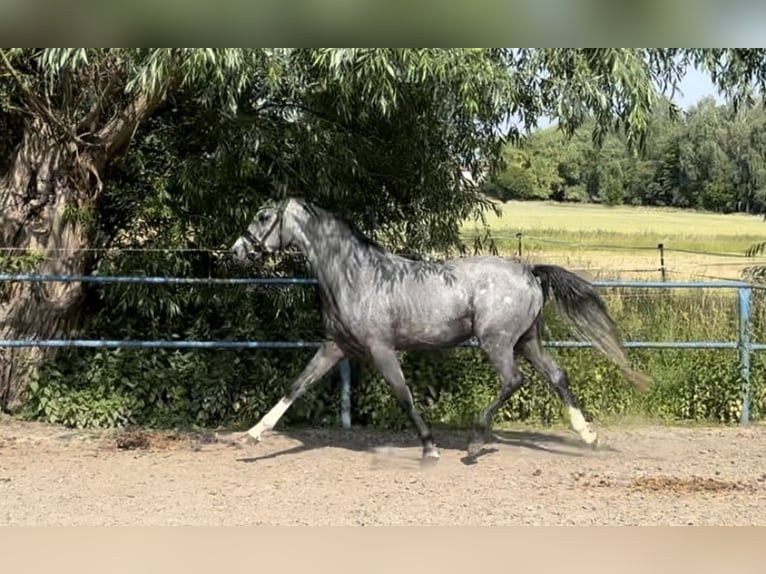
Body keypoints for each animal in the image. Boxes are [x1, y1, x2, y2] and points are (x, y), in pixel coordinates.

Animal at [230, 200, 648, 466]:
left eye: (264, 216)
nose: (236, 251)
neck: (356, 276)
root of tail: (529, 271)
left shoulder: (381, 348)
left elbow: (404, 396)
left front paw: (429, 449)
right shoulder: (336, 346)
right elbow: (296, 385)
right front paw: (251, 436)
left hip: (497, 342)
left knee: (514, 381)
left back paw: (475, 443)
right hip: (527, 342)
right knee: (558, 375)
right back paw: (588, 437)